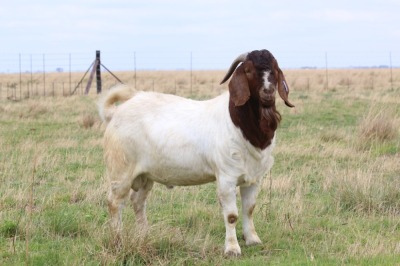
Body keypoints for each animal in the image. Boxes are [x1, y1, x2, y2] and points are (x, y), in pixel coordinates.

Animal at [97, 49, 294, 256]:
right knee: (114, 202)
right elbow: (231, 215)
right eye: (248, 70)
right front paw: (232, 249)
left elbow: (249, 209)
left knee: (137, 201)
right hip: (121, 171)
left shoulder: (254, 178)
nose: (268, 92)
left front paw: (253, 239)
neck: (241, 125)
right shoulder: (226, 177)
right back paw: (117, 239)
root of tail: (115, 113)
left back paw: (144, 235)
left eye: (274, 69)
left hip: (145, 175)